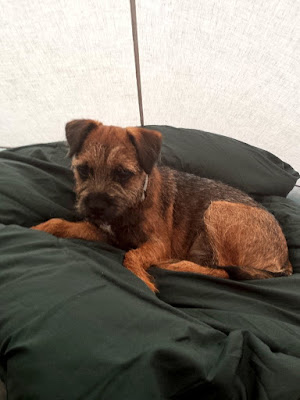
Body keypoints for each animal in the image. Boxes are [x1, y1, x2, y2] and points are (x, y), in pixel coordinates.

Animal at [31, 119, 292, 290]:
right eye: (84, 170)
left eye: (123, 173)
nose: (95, 207)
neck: (137, 200)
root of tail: (285, 259)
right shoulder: (106, 234)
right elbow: (59, 223)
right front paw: (35, 230)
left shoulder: (158, 243)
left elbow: (132, 257)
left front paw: (143, 281)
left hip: (218, 209)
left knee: (223, 271)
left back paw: (177, 266)